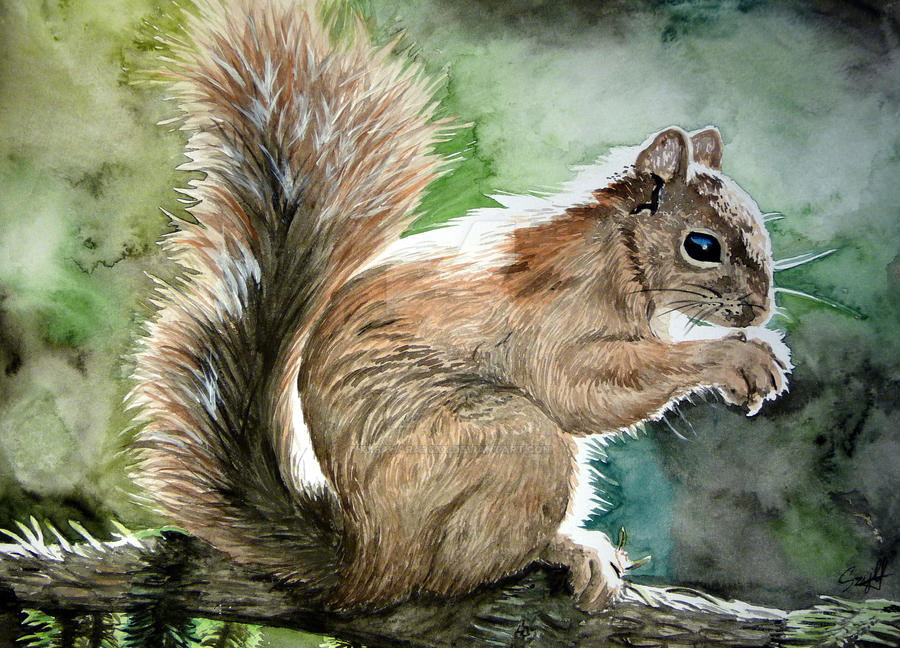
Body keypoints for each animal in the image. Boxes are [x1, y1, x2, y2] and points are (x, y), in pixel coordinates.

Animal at [131, 0, 791, 613]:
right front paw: (737, 357)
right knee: (456, 570)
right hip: (513, 443)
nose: (759, 311)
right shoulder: (555, 316)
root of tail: (368, 561)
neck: (619, 255)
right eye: (701, 246)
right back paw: (568, 550)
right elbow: (582, 388)